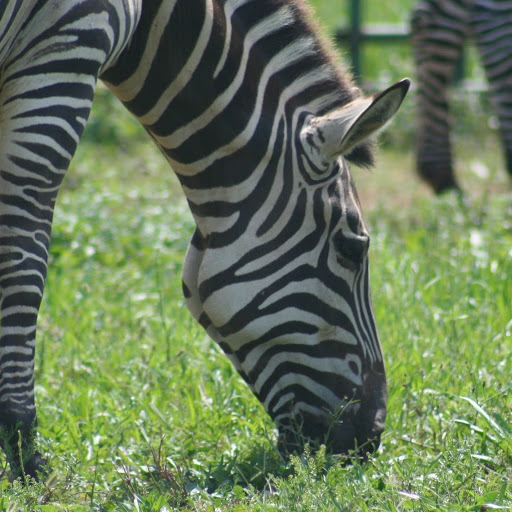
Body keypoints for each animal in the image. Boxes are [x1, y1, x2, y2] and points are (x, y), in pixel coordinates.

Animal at [0, 0, 408, 480]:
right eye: (352, 248)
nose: (370, 438)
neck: (151, 22)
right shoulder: (65, 48)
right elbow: (22, 257)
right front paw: (24, 449)